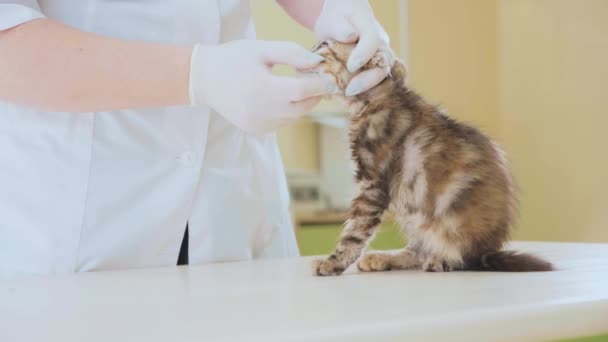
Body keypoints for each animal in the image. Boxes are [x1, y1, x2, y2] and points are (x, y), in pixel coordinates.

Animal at [312, 40, 552, 276]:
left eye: (324, 45)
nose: (312, 48)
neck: (377, 98)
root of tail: (487, 251)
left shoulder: (373, 184)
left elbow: (354, 232)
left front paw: (332, 263)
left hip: (444, 225)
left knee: (459, 259)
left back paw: (441, 260)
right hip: (410, 214)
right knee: (416, 252)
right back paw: (383, 258)